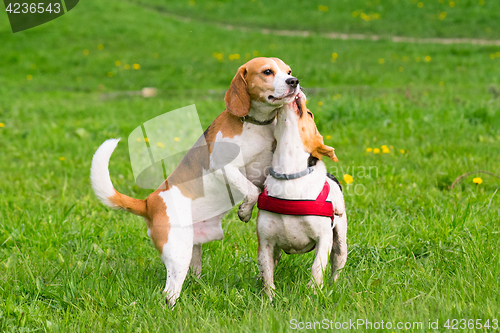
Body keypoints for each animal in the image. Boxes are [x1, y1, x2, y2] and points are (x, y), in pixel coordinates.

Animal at [90, 57, 300, 306]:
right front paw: (245, 211)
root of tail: (149, 203)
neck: (255, 125)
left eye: (288, 71)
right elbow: (250, 189)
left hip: (193, 250)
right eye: (267, 72)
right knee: (169, 292)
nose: (294, 81)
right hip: (178, 253)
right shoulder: (225, 168)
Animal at [256, 94, 346, 296]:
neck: (289, 174)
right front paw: (269, 297)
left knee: (336, 269)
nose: (299, 93)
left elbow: (317, 268)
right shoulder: (265, 242)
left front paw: (313, 291)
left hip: (340, 244)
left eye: (310, 114)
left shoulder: (324, 239)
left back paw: (333, 288)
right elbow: (267, 273)